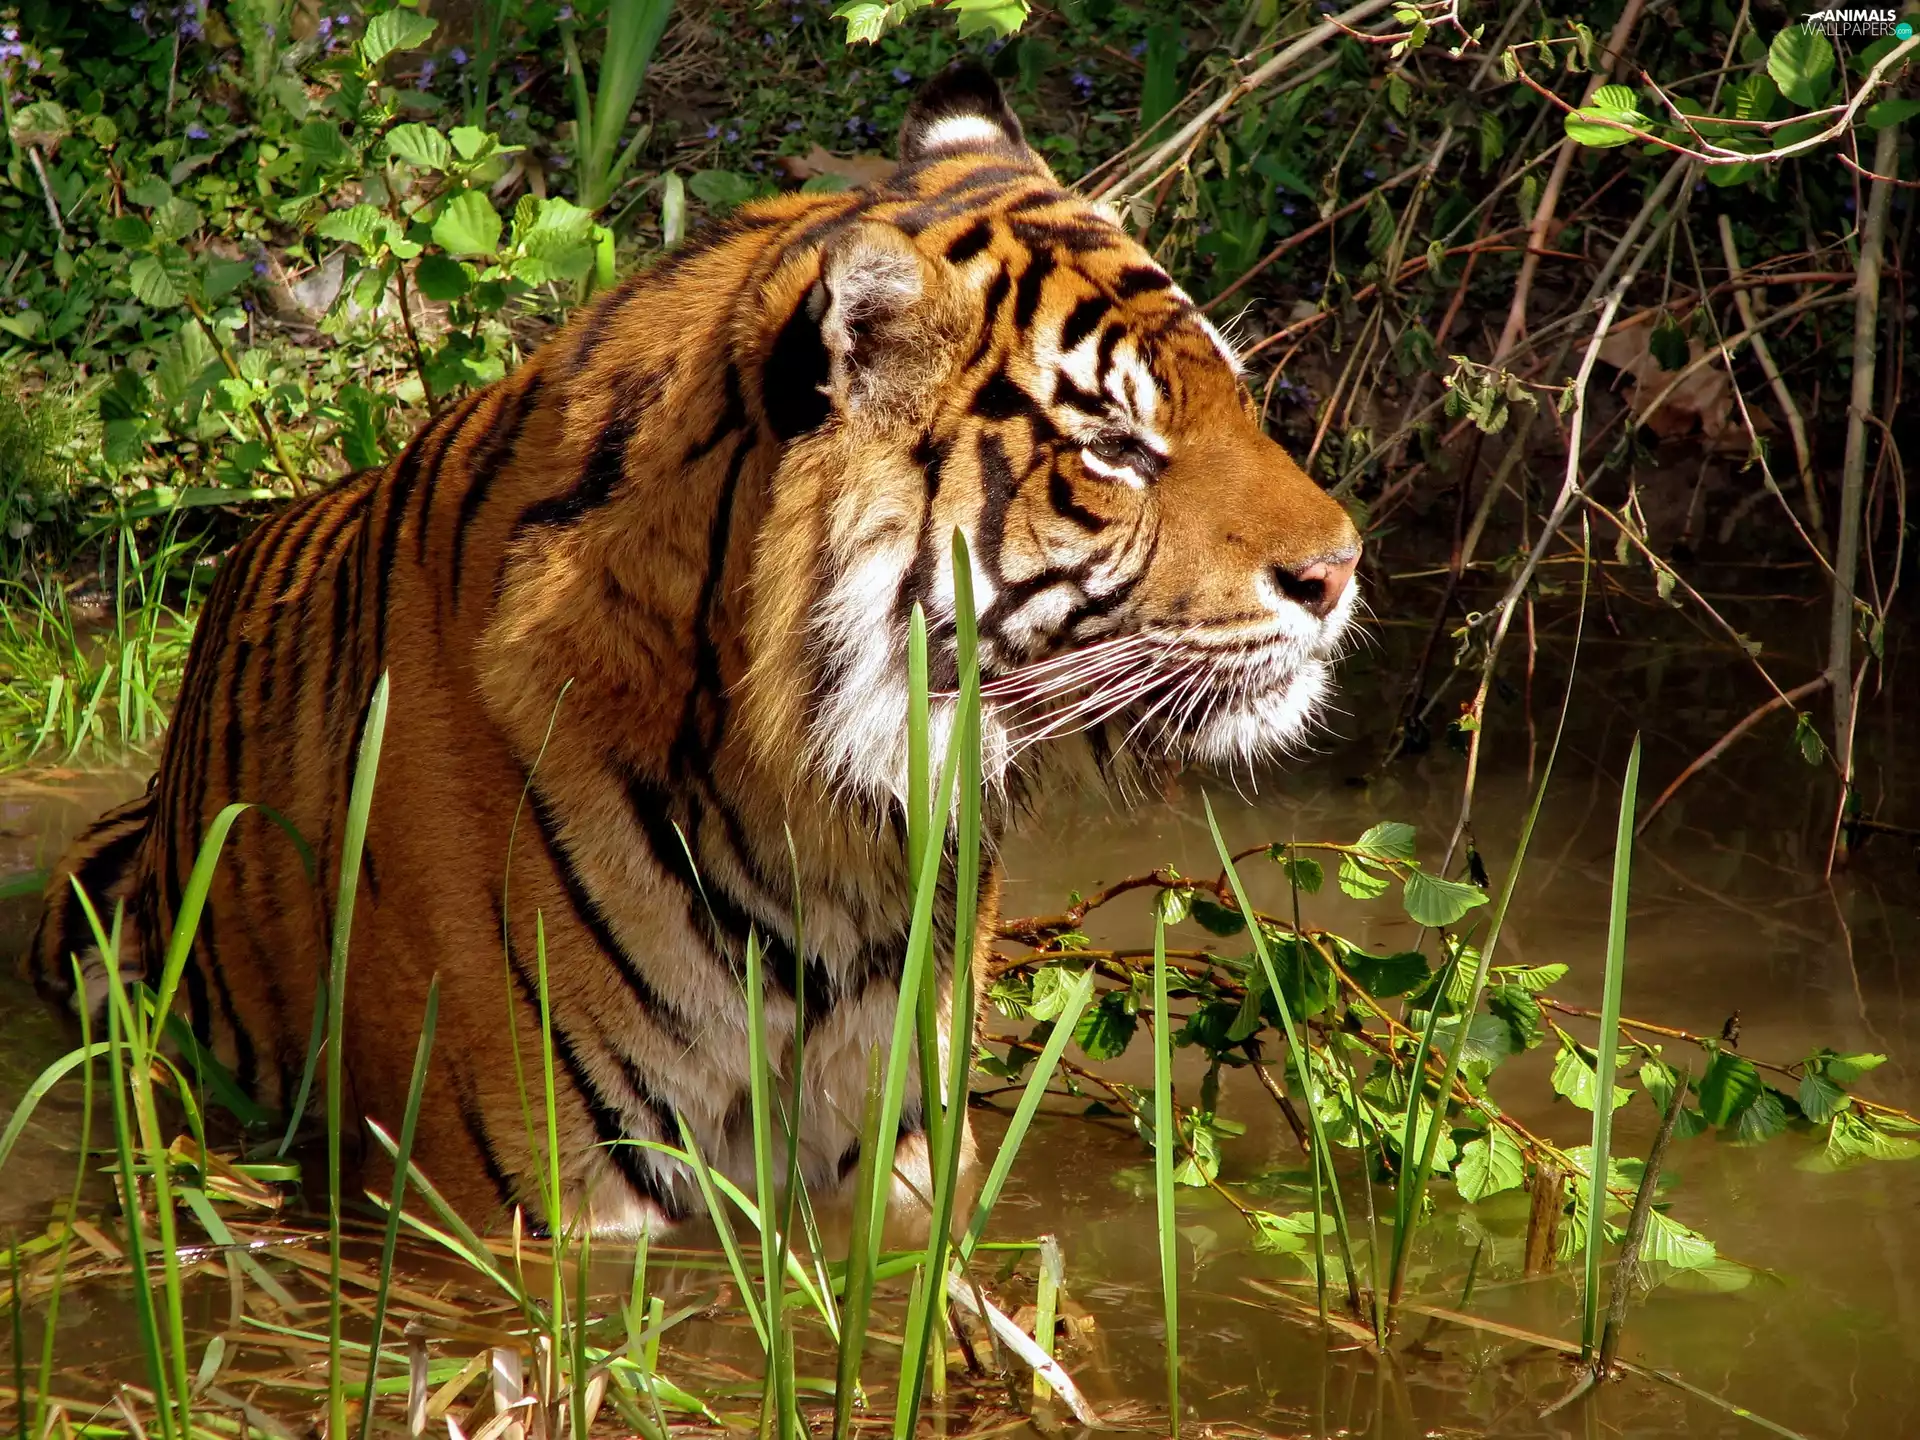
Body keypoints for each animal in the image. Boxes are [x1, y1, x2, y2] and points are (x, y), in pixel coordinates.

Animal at [28, 65, 1361, 1235]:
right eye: (1116, 446)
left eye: (1237, 400)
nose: (1343, 569)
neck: (827, 823)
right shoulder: (525, 1200)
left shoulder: (898, 1158)